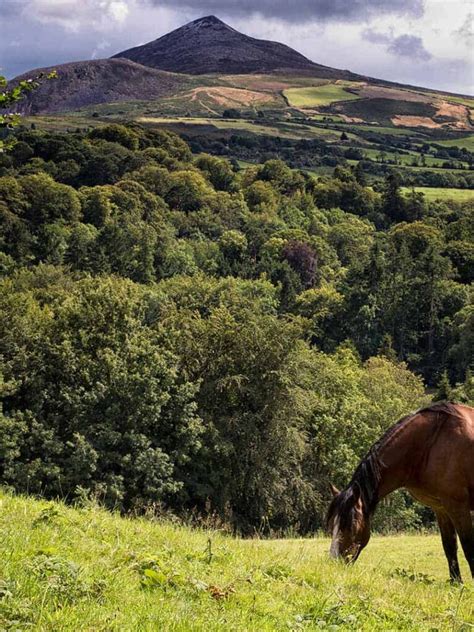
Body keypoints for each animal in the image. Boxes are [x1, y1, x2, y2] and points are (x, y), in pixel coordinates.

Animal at [328, 402, 472, 580]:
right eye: (333, 524)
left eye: (352, 524)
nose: (335, 563)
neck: (431, 443)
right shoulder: (441, 508)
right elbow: (450, 548)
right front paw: (456, 583)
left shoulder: (458, 507)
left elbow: (469, 549)